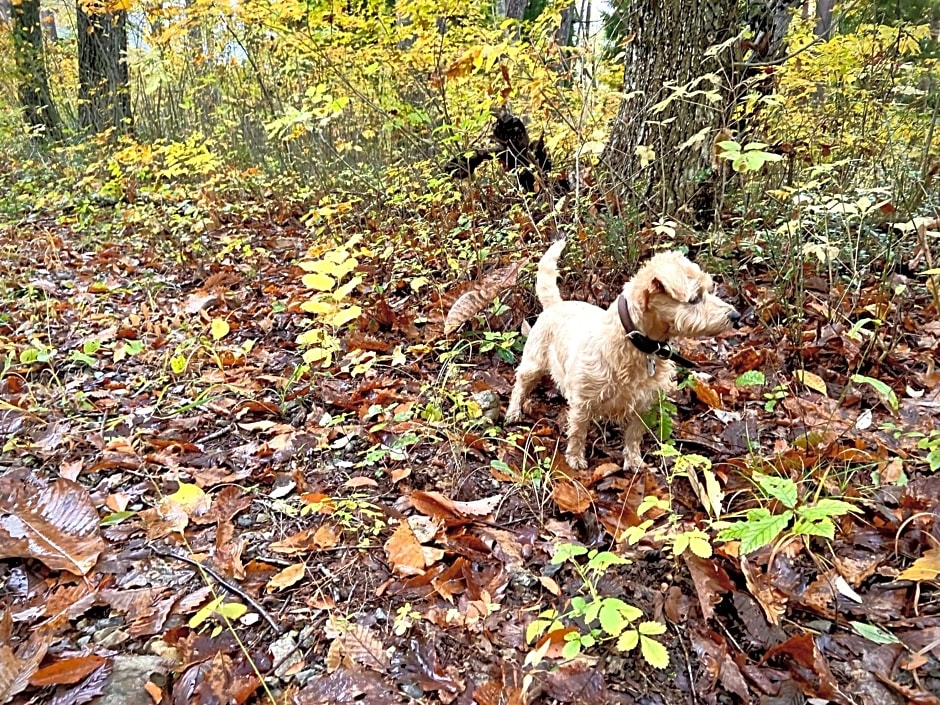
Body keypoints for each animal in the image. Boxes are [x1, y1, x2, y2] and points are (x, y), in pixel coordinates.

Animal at [506, 239, 740, 470]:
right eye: (695, 298)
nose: (736, 315)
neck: (637, 345)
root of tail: (555, 304)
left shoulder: (643, 404)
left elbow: (634, 435)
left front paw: (634, 461)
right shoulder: (583, 401)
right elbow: (578, 432)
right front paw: (575, 458)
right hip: (533, 363)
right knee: (520, 385)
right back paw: (513, 412)